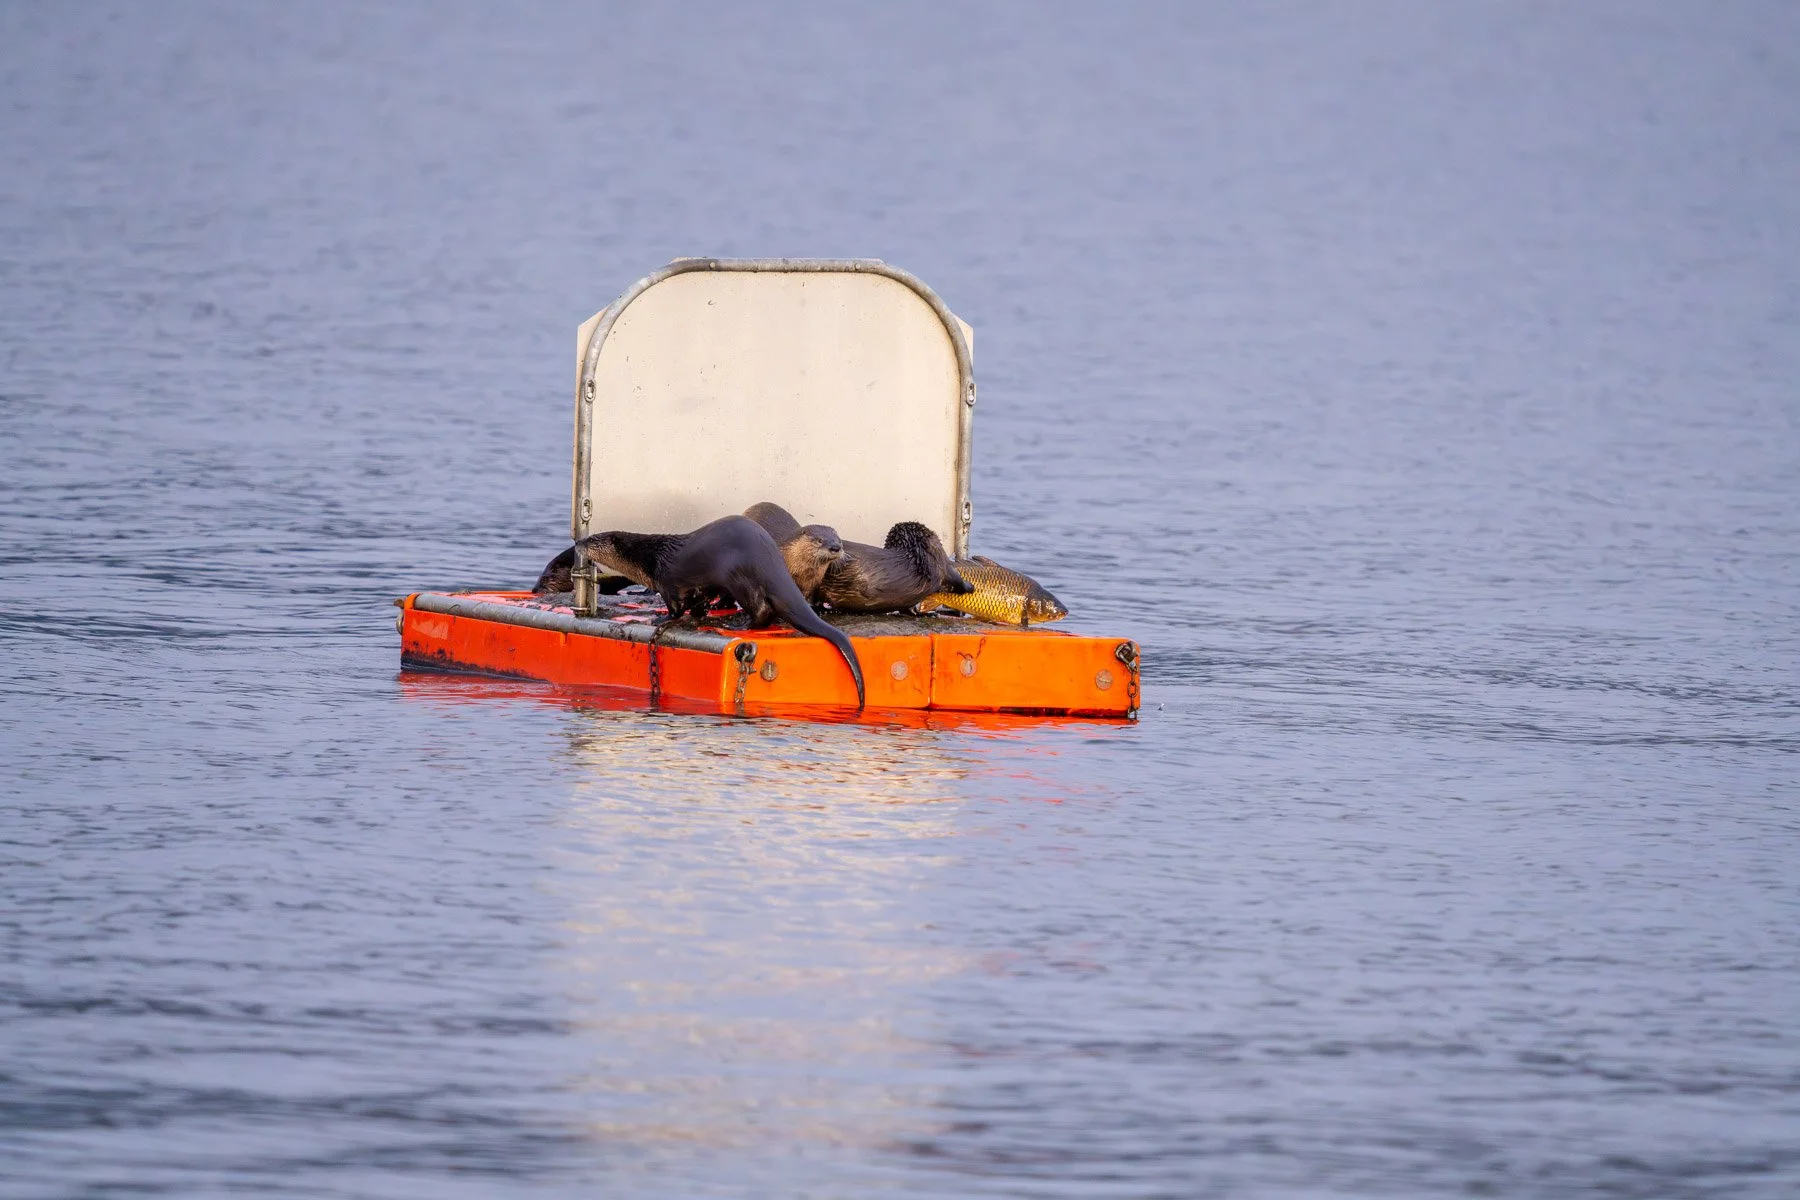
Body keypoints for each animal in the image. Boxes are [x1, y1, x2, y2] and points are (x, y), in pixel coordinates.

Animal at [583, 515, 865, 708]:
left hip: (738, 576)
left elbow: (675, 607)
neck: (651, 558)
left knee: (761, 609)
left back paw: (739, 626)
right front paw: (699, 614)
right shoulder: (697, 587)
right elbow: (697, 602)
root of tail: (770, 557)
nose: (579, 542)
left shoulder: (668, 582)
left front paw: (660, 617)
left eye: (593, 540)